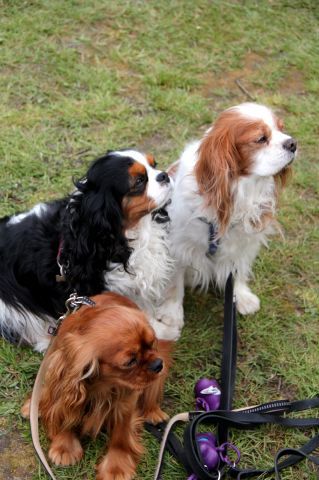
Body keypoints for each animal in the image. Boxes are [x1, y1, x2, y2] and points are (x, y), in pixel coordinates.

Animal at [166, 104, 298, 330]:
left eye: (282, 128)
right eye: (261, 138)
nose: (293, 143)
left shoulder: (242, 243)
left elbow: (238, 270)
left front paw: (242, 297)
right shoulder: (178, 246)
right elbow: (175, 283)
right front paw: (171, 314)